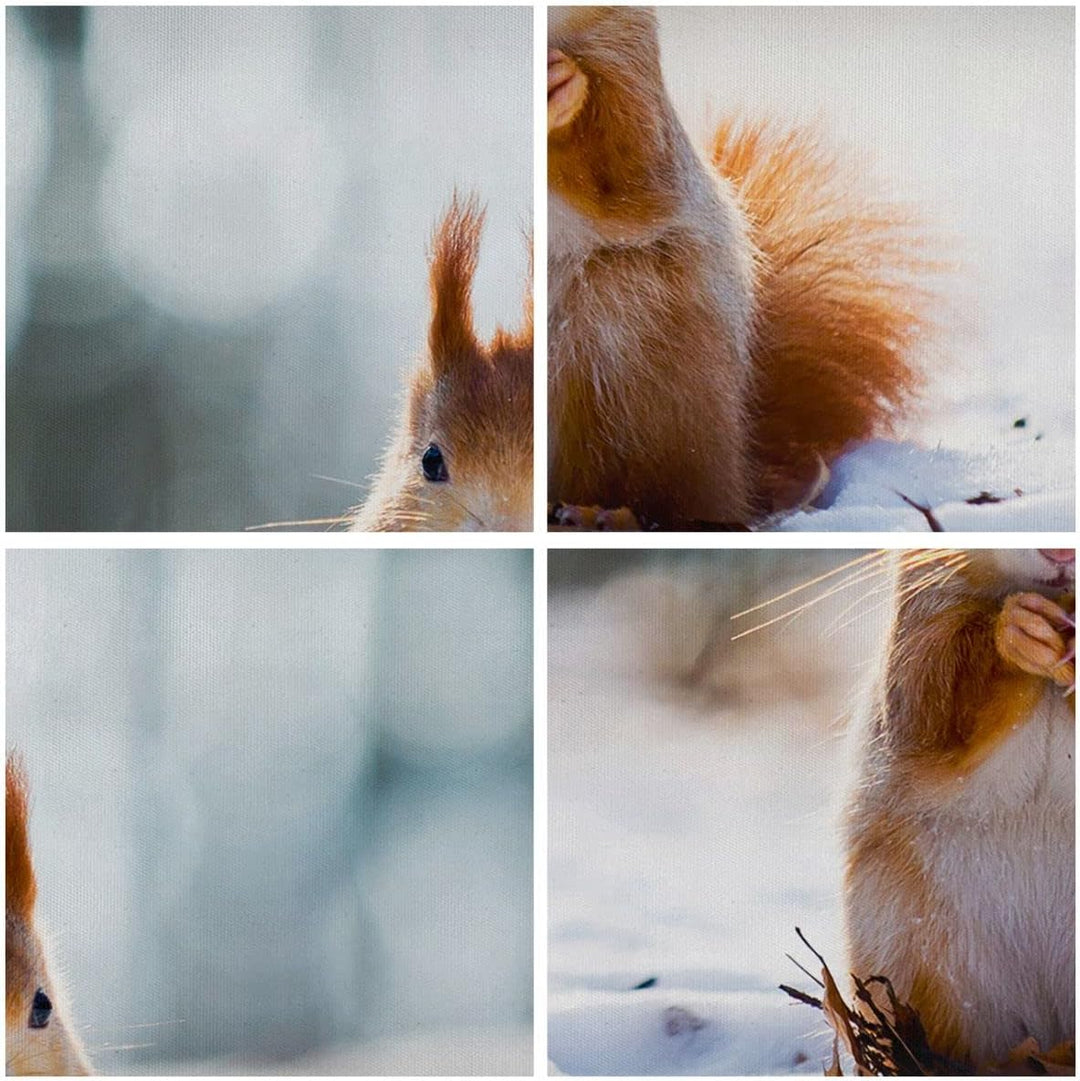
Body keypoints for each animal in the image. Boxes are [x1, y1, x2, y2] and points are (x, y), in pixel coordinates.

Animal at [548, 6, 930, 529]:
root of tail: (741, 473)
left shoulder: (638, 89)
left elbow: (626, 166)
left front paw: (562, 82)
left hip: (658, 390)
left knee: (671, 504)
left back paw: (602, 514)